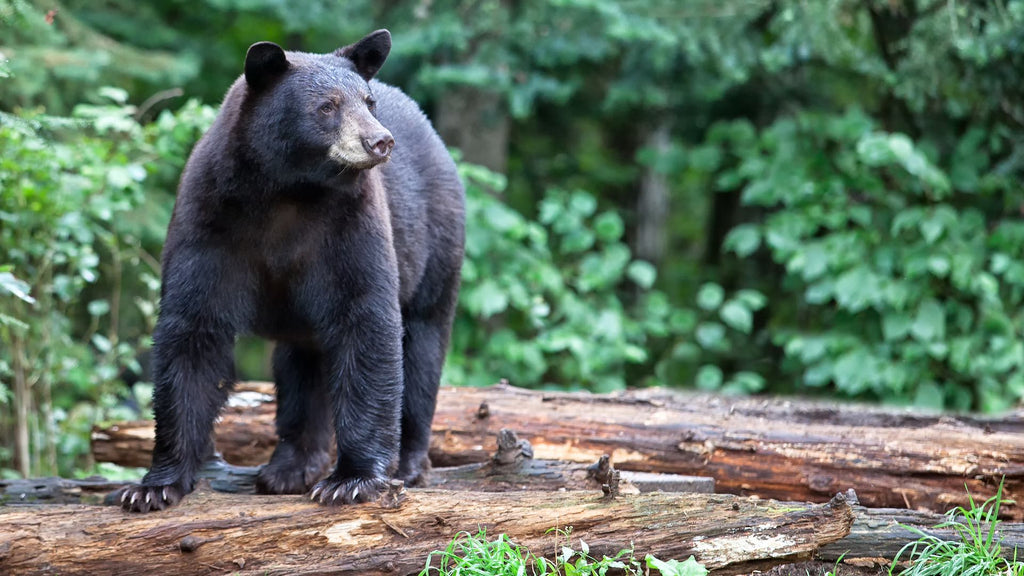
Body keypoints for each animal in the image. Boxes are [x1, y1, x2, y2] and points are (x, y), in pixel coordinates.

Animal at [120, 30, 468, 510]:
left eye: (368, 101)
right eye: (327, 106)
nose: (380, 141)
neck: (288, 191)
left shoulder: (350, 225)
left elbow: (366, 320)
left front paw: (353, 480)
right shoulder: (209, 221)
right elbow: (193, 330)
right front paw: (153, 485)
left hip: (435, 242)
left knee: (422, 344)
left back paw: (409, 462)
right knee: (301, 366)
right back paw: (290, 466)